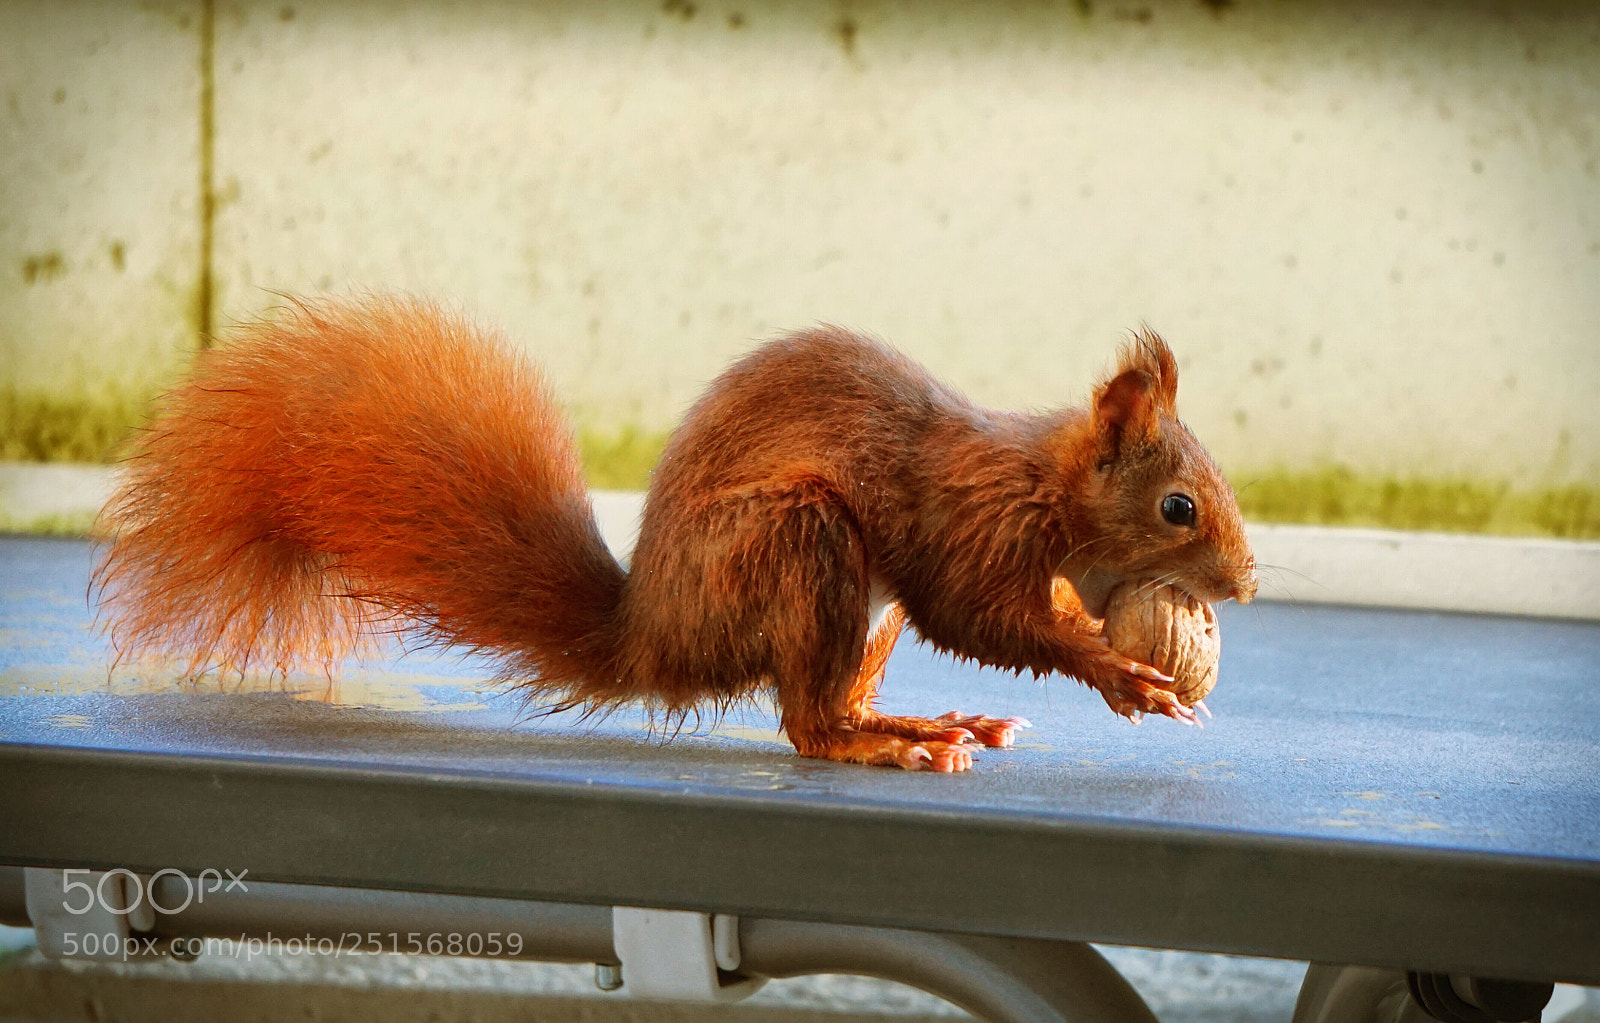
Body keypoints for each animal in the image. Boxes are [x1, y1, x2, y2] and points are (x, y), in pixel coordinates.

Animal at [94, 294, 1257, 772]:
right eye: (1179, 506)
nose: (1244, 584)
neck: (1048, 491)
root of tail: (653, 634)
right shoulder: (969, 527)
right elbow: (978, 618)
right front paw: (1114, 667)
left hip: (845, 603)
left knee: (827, 698)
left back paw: (924, 719)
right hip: (798, 545)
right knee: (808, 723)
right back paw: (887, 743)